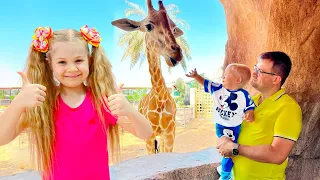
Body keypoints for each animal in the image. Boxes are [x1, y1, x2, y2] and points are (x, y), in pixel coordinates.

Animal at [111, 0, 184, 154]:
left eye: (174, 29)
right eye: (148, 26)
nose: (176, 53)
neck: (160, 97)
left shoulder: (170, 134)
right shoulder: (149, 137)